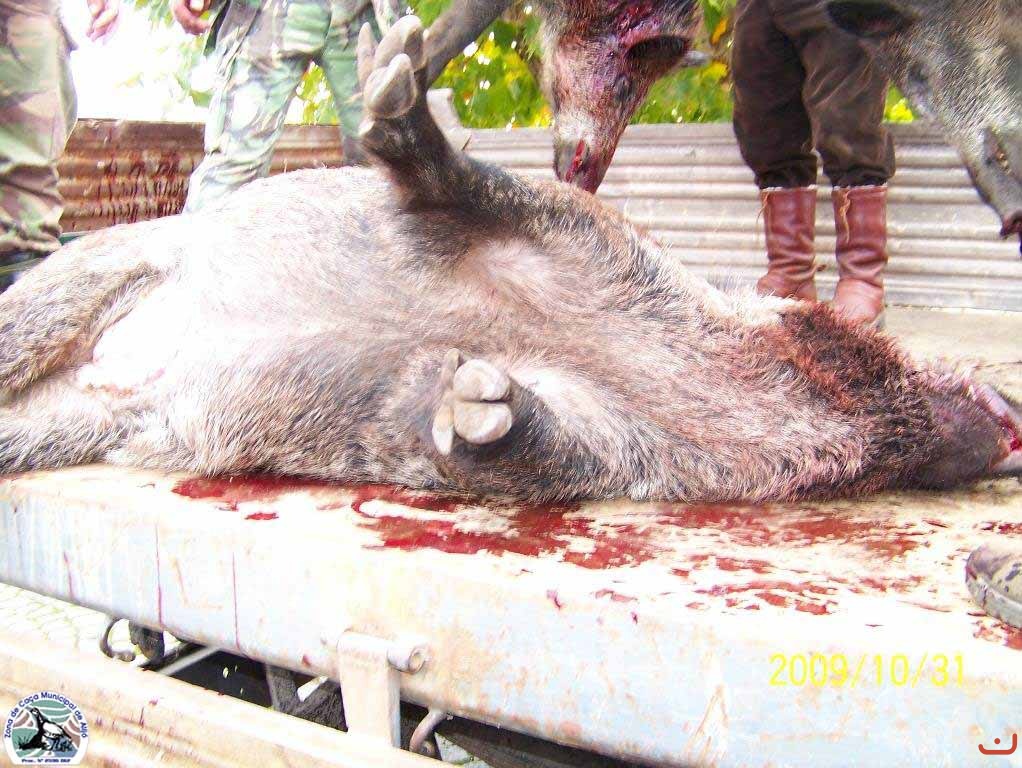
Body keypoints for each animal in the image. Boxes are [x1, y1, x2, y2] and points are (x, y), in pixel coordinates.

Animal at [0, 17, 1019, 502]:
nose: (1007, 420)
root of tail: (113, 369)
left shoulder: (626, 450)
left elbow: (522, 445)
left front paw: (475, 400)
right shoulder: (562, 229)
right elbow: (460, 185)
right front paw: (398, 87)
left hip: (57, 429)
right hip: (64, 293)